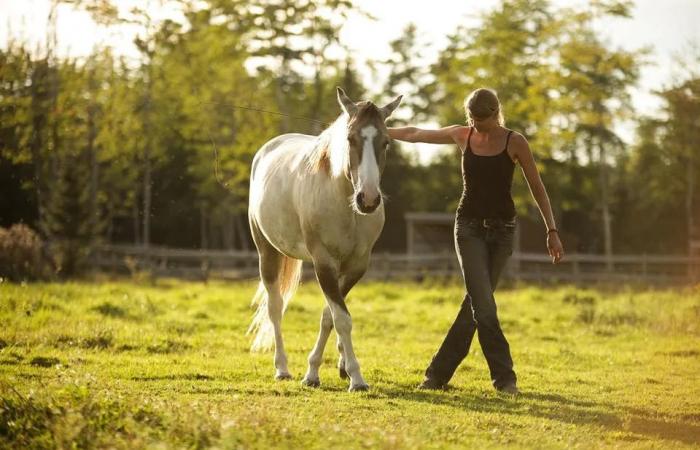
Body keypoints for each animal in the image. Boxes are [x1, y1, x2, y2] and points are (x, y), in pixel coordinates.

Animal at [247, 87, 402, 391]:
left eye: (386, 142)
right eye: (350, 138)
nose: (368, 200)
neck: (345, 206)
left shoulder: (355, 266)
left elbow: (330, 316)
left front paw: (332, 368)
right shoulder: (324, 264)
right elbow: (342, 319)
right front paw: (353, 377)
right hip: (267, 253)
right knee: (275, 308)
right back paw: (282, 368)